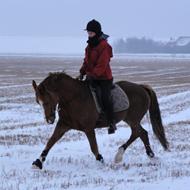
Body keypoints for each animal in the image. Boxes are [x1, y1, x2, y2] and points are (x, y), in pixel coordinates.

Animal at [31, 72, 169, 169]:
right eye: (38, 102)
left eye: (47, 101)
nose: (49, 119)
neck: (74, 98)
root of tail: (141, 87)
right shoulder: (63, 125)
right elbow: (51, 141)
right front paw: (38, 162)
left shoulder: (88, 128)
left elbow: (93, 146)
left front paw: (100, 160)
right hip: (130, 119)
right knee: (141, 133)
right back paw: (148, 154)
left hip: (133, 119)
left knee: (138, 133)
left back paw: (121, 155)